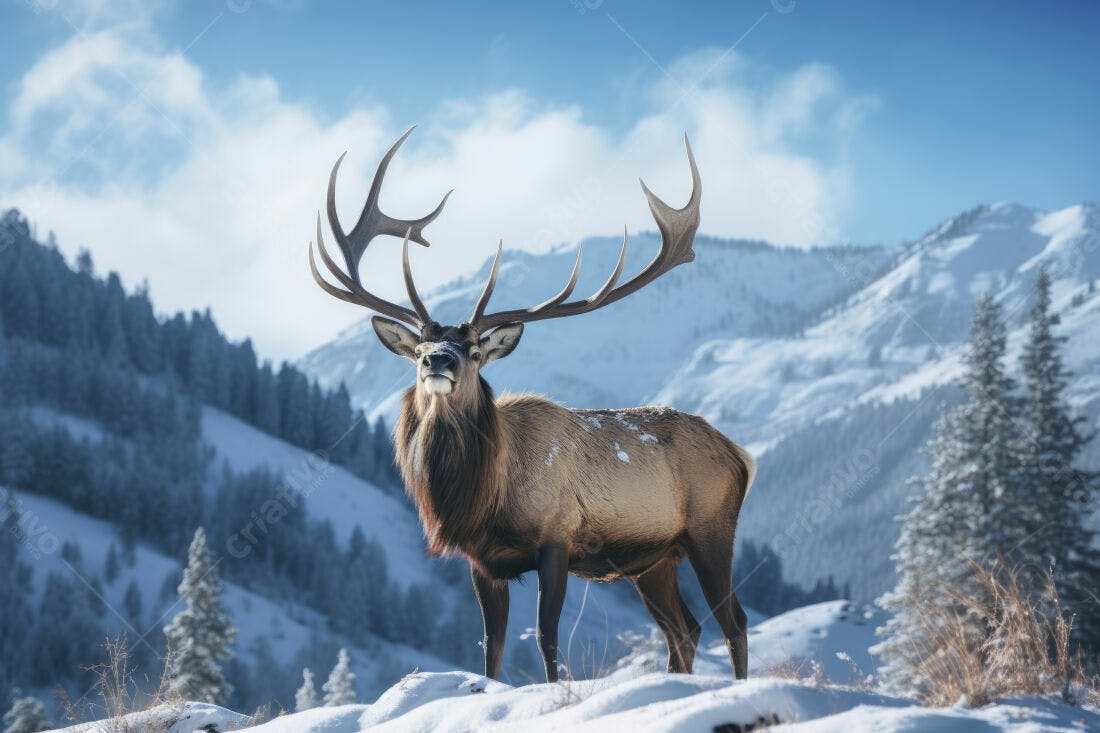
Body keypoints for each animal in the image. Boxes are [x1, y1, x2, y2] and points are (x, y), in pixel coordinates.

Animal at [307, 128, 755, 683]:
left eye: (475, 351)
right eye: (417, 349)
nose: (438, 359)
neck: (484, 494)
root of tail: (741, 455)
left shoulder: (556, 539)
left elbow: (547, 640)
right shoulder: (481, 560)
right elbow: (491, 647)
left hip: (712, 528)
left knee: (733, 621)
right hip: (654, 560)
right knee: (685, 630)